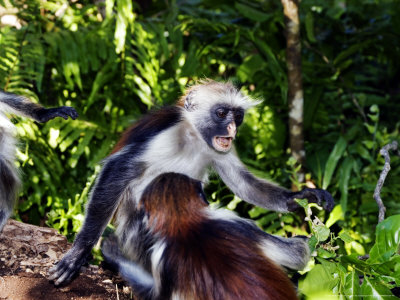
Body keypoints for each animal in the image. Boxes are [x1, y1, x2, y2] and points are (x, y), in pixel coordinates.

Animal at [48, 79, 332, 286]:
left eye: (237, 116)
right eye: (221, 113)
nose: (232, 129)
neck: (194, 137)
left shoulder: (220, 148)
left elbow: (243, 184)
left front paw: (301, 198)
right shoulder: (166, 131)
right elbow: (118, 170)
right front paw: (79, 251)